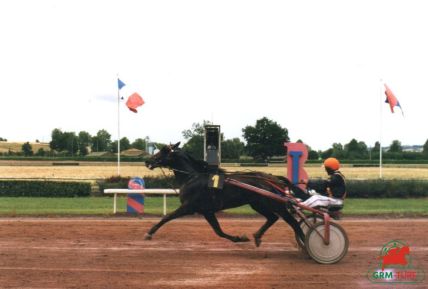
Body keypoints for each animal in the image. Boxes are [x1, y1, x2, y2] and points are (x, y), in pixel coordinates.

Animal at [145, 142, 306, 245]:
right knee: (272, 218)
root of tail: (274, 179)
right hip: (258, 204)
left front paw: (149, 233)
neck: (192, 177)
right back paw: (257, 236)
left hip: (275, 204)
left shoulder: (188, 207)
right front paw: (240, 238)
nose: (147, 161)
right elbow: (218, 231)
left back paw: (304, 241)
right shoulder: (207, 211)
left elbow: (167, 217)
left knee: (291, 221)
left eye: (164, 151)